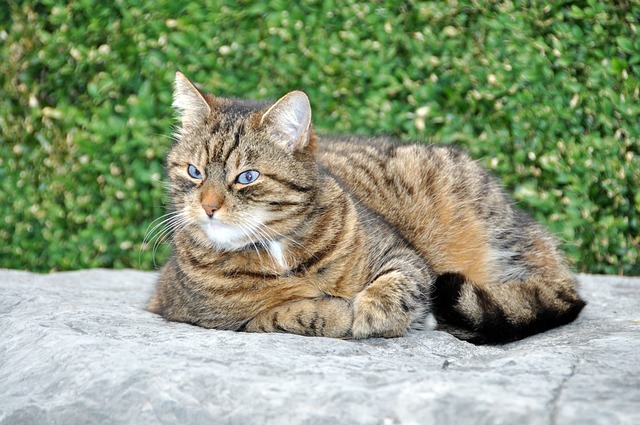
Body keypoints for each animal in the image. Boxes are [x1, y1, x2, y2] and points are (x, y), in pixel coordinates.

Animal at [148, 71, 588, 342]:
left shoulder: (403, 255)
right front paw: (336, 312)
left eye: (247, 177)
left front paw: (371, 312)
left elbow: (397, 284)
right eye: (194, 172)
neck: (276, 249)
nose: (208, 206)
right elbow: (285, 312)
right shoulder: (200, 313)